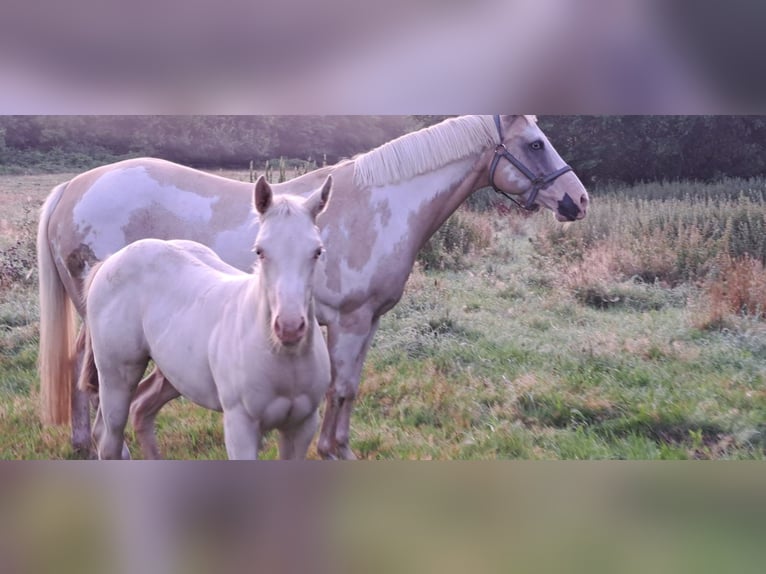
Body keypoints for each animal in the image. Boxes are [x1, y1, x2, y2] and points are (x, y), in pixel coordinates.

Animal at [77, 176, 333, 459]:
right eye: (260, 251)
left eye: (317, 251)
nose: (289, 327)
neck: (283, 358)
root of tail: (111, 260)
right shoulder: (240, 425)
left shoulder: (302, 425)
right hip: (116, 375)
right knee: (108, 436)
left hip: (175, 373)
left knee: (141, 407)